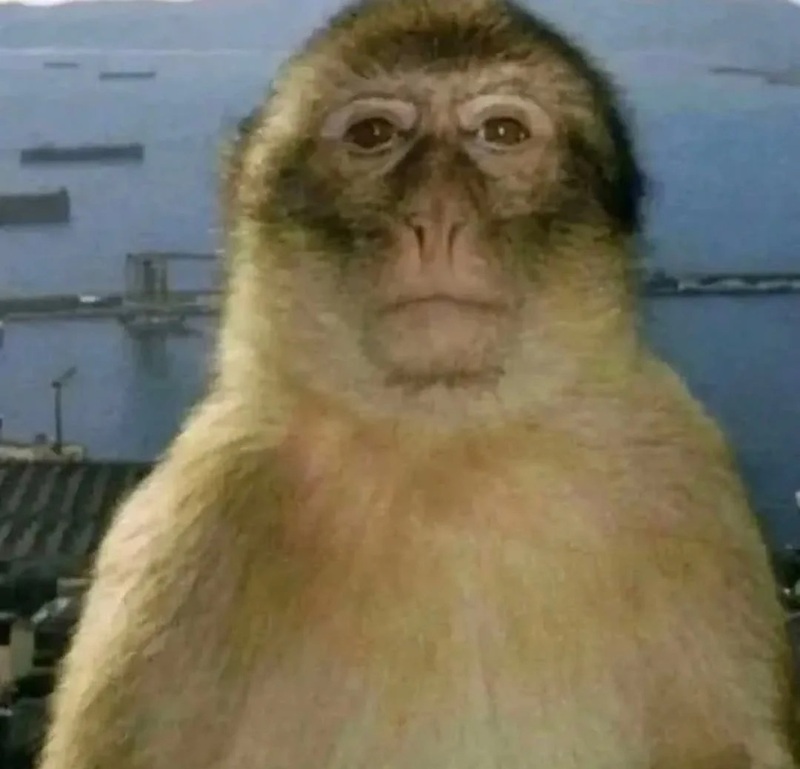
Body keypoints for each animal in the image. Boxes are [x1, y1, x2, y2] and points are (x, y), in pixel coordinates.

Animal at [37, 1, 798, 768]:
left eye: (502, 133)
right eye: (374, 134)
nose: (437, 220)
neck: (447, 447)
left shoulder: (683, 478)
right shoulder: (190, 520)